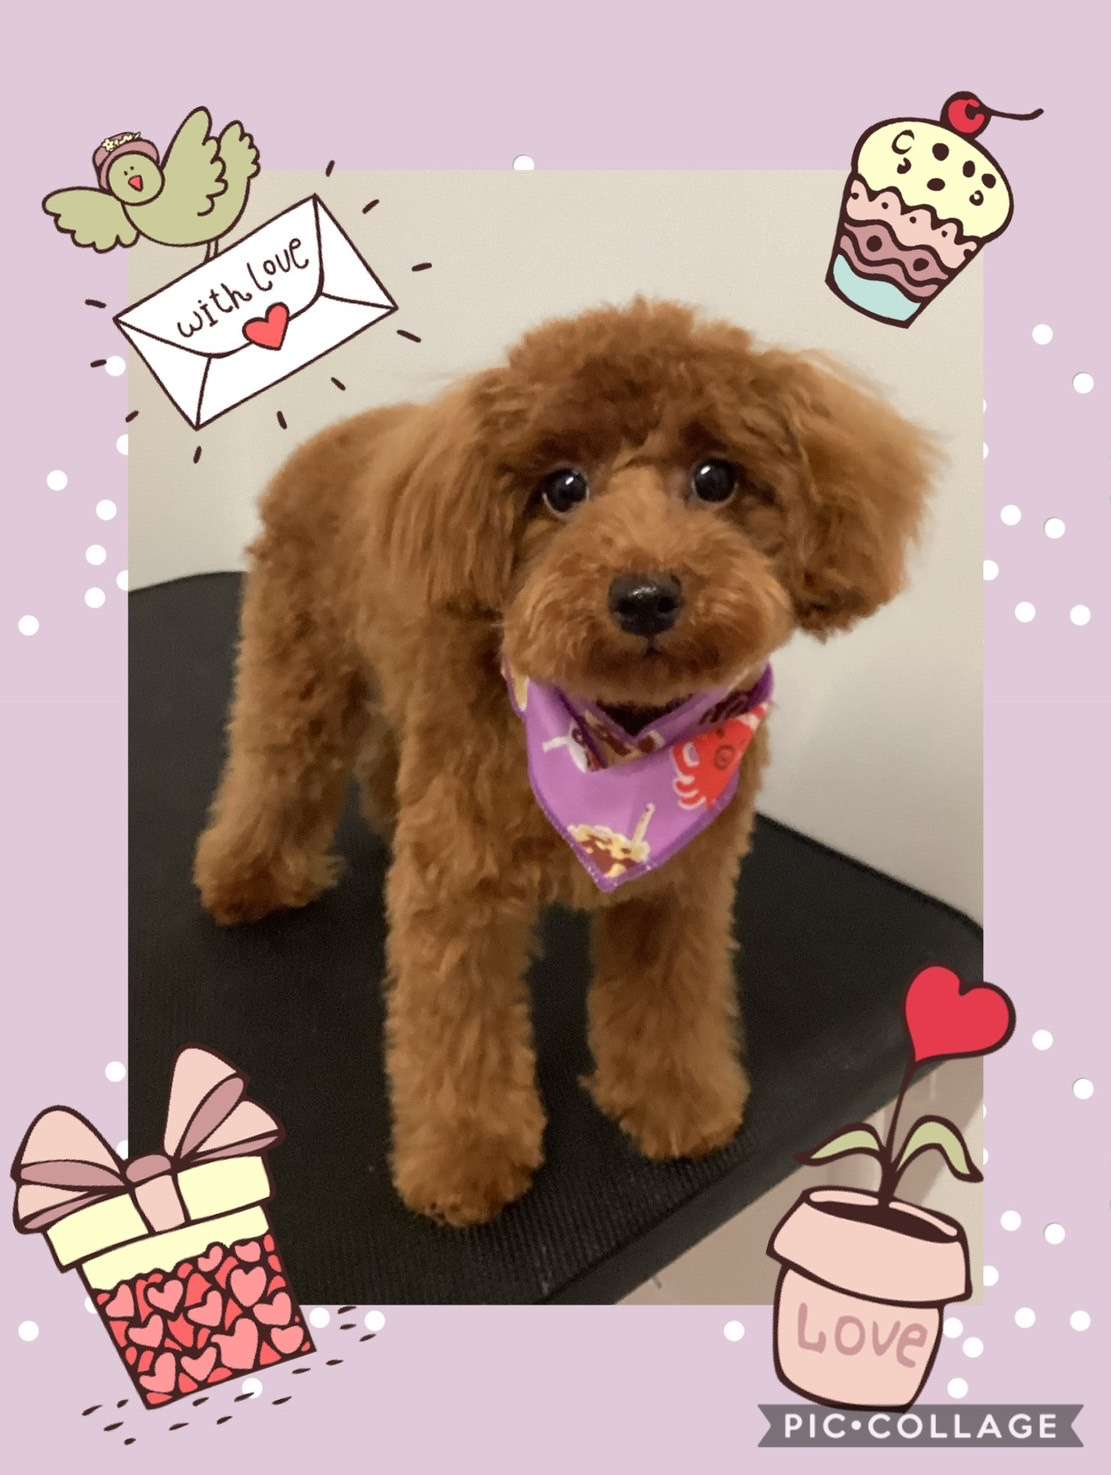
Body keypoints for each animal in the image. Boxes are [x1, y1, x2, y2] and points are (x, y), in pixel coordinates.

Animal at [195, 299, 934, 1227]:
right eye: (563, 488)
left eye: (715, 478)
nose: (645, 595)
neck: (616, 743)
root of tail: (338, 432)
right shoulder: (457, 894)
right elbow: (457, 1034)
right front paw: (466, 1160)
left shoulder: (678, 888)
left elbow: (667, 1002)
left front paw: (675, 1101)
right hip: (300, 663)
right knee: (275, 762)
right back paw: (247, 877)